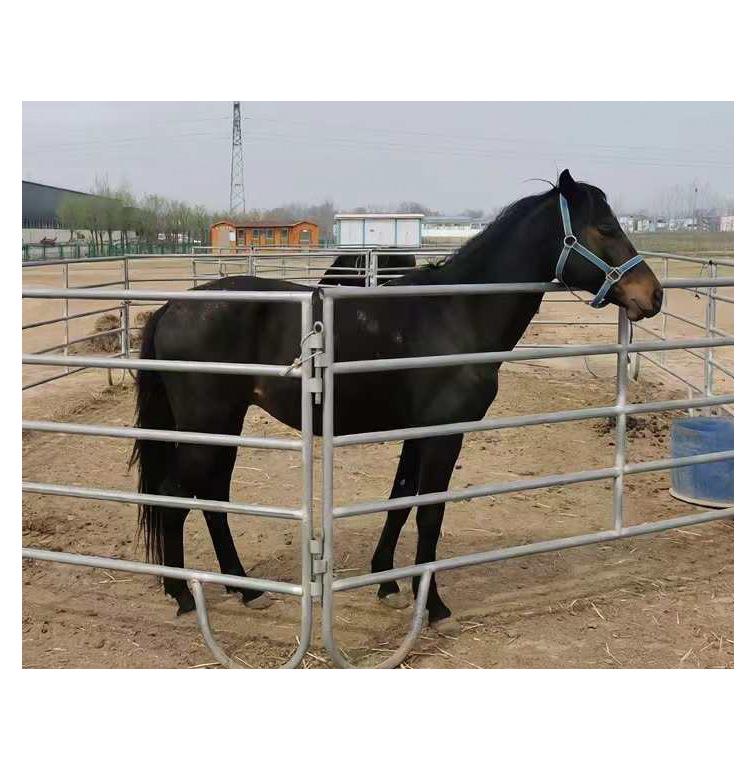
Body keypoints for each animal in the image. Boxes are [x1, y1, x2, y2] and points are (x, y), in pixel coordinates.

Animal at [129, 170, 663, 631]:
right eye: (606, 227)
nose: (652, 295)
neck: (457, 312)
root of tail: (171, 308)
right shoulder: (444, 434)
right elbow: (429, 515)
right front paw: (434, 605)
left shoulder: (416, 432)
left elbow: (400, 499)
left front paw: (386, 580)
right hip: (208, 425)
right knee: (177, 499)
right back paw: (182, 594)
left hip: (224, 425)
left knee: (212, 497)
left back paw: (244, 588)